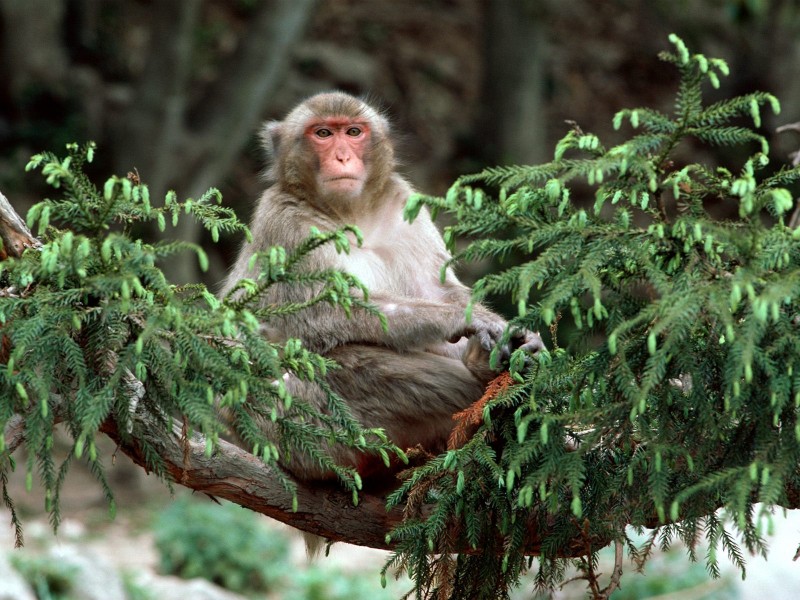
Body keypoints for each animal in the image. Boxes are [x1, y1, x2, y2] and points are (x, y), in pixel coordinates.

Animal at [220, 90, 544, 482]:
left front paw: (514, 337)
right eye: (323, 134)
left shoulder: (404, 206)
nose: (342, 156)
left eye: (354, 132)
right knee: (344, 361)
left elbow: (437, 290)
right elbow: (321, 313)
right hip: (293, 428)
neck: (350, 215)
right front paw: (463, 319)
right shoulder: (285, 224)